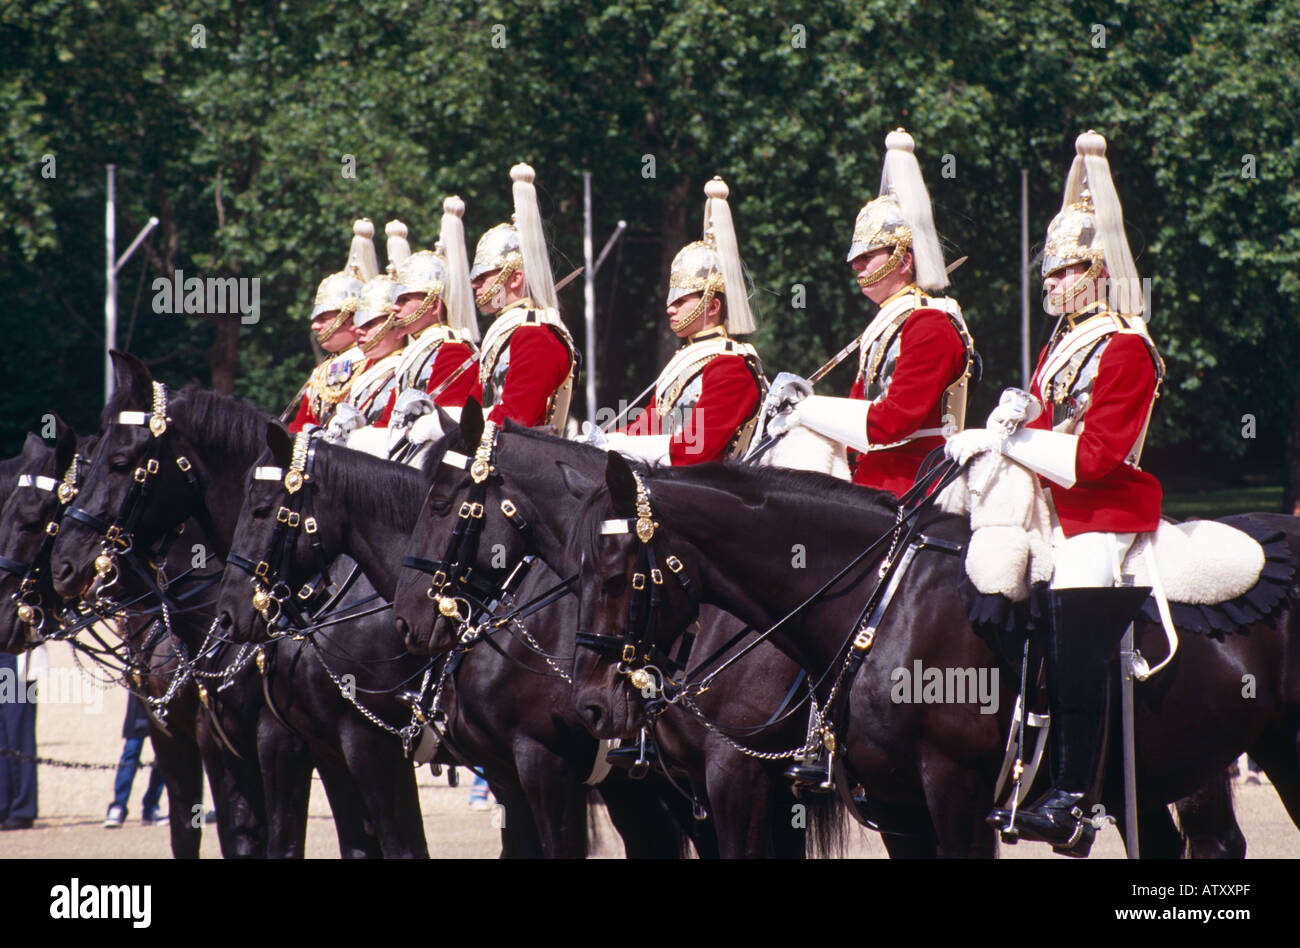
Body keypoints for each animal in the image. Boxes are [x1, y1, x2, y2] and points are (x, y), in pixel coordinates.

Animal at [566, 449, 1289, 858]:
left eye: (621, 575)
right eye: (578, 571)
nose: (592, 707)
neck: (882, 601)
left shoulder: (954, 795)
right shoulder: (897, 810)